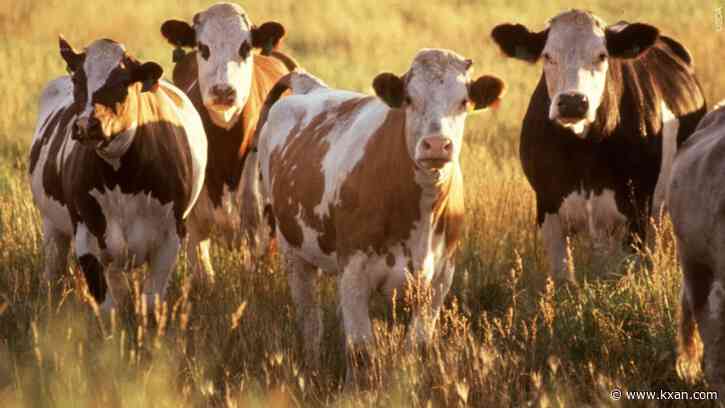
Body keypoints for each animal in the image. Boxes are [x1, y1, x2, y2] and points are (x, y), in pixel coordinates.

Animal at [29, 37, 207, 310]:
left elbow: (151, 301)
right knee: (53, 271)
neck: (122, 180)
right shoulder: (87, 236)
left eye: (123, 82)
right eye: (77, 79)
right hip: (52, 227)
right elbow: (108, 305)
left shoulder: (171, 237)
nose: (86, 125)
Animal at [252, 49, 505, 382]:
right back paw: (313, 368)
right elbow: (361, 351)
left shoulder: (440, 279)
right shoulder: (354, 271)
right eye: (409, 98)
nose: (437, 145)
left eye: (463, 101)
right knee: (310, 320)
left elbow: (416, 346)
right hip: (293, 251)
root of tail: (311, 87)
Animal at [491, 10, 706, 282]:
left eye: (602, 55)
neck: (583, 153)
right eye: (547, 56)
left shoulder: (637, 209)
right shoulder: (547, 205)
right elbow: (563, 278)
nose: (572, 102)